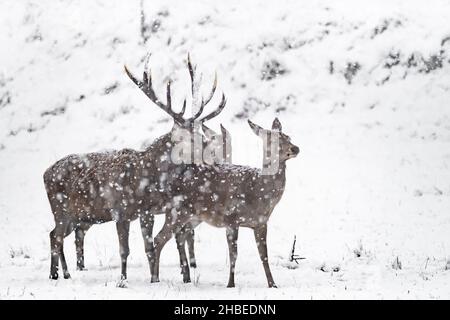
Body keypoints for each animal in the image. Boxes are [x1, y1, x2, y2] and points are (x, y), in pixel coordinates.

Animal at [44, 53, 229, 284]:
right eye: (193, 138)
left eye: (203, 134)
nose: (217, 156)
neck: (147, 179)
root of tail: (45, 173)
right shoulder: (120, 211)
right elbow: (125, 249)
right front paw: (122, 281)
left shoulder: (146, 212)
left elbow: (150, 247)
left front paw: (155, 279)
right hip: (60, 208)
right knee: (56, 236)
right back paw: (54, 275)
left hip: (74, 215)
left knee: (54, 234)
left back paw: (65, 273)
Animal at [149, 117, 298, 288]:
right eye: (272, 140)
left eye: (288, 137)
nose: (295, 148)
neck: (258, 191)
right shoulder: (231, 219)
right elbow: (234, 254)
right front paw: (231, 284)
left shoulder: (261, 223)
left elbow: (264, 255)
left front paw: (272, 284)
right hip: (176, 212)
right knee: (159, 238)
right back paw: (155, 278)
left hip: (194, 216)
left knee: (180, 235)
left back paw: (185, 276)